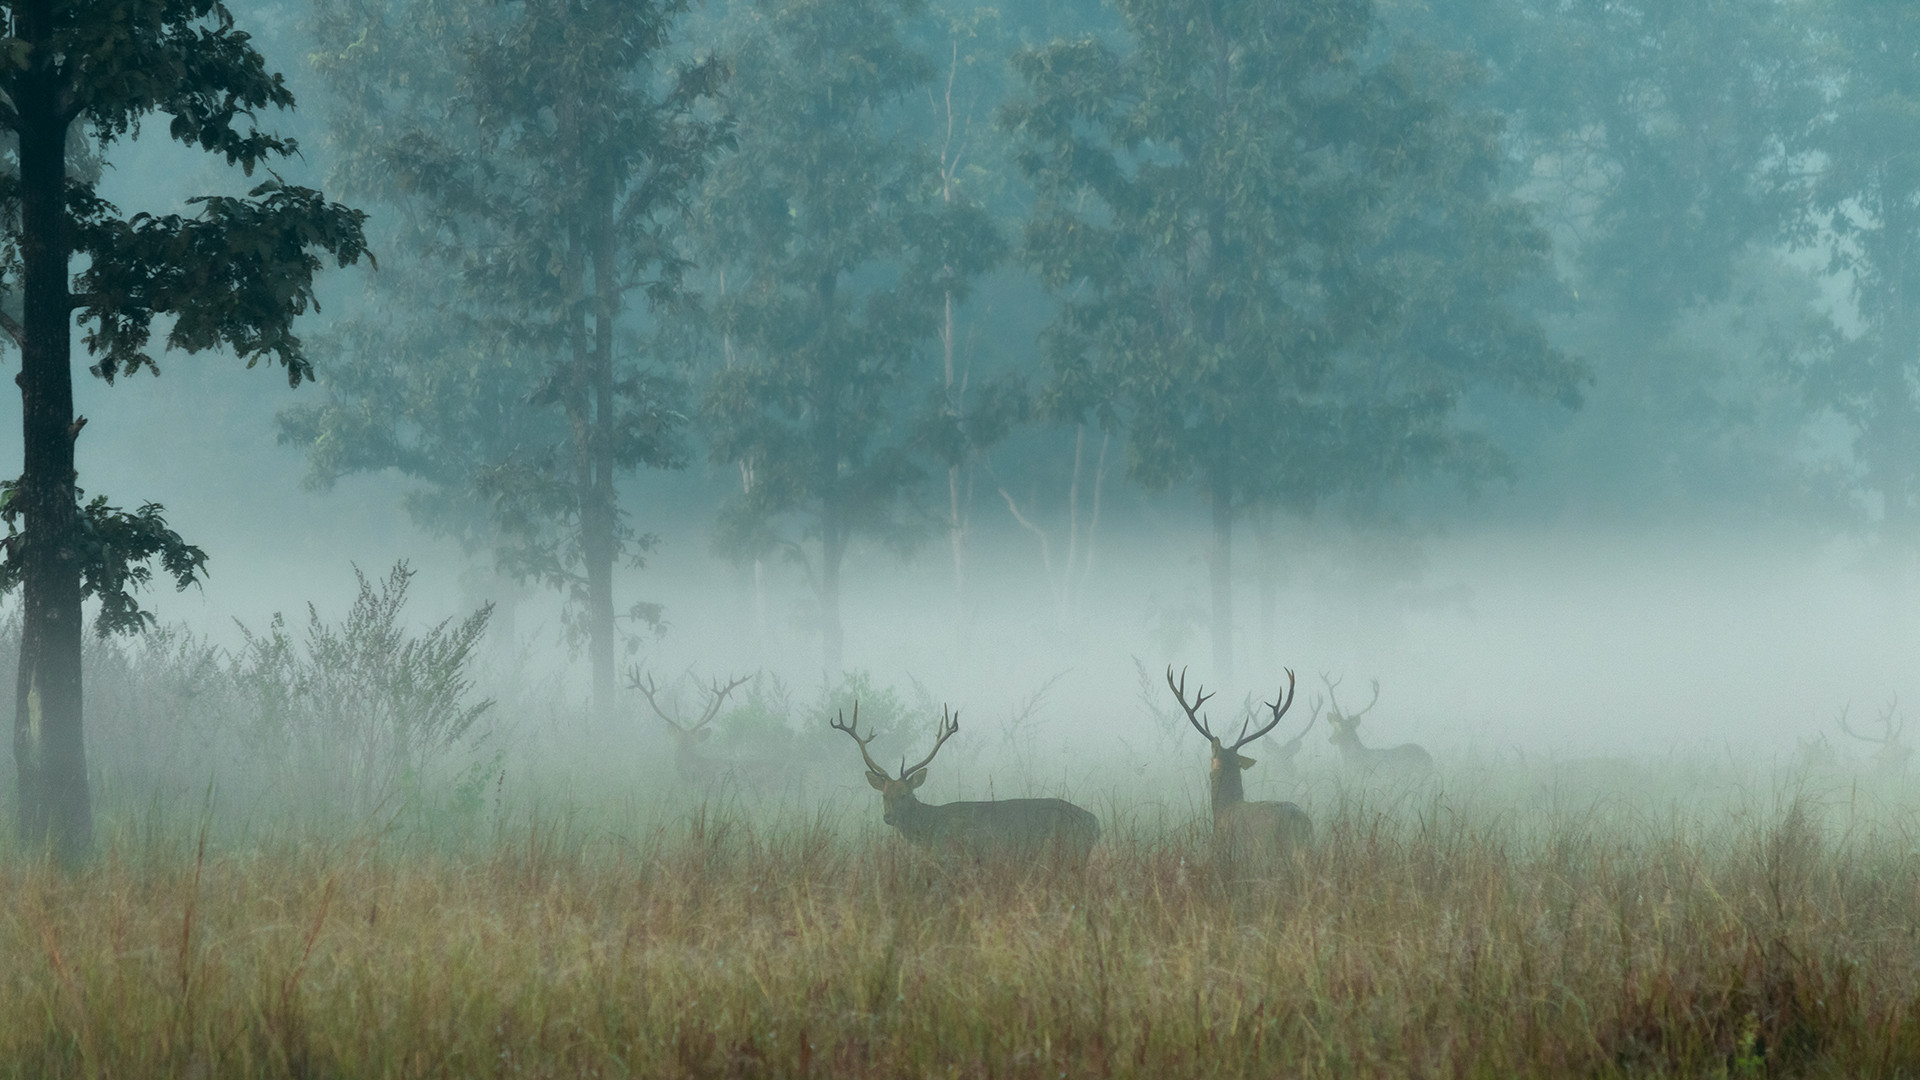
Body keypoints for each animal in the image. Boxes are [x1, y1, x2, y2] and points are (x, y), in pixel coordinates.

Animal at [832, 704, 1101, 862]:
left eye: (905, 795)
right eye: (884, 795)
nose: (888, 817)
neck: (930, 828)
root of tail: (1096, 823)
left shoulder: (954, 856)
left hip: (1069, 851)